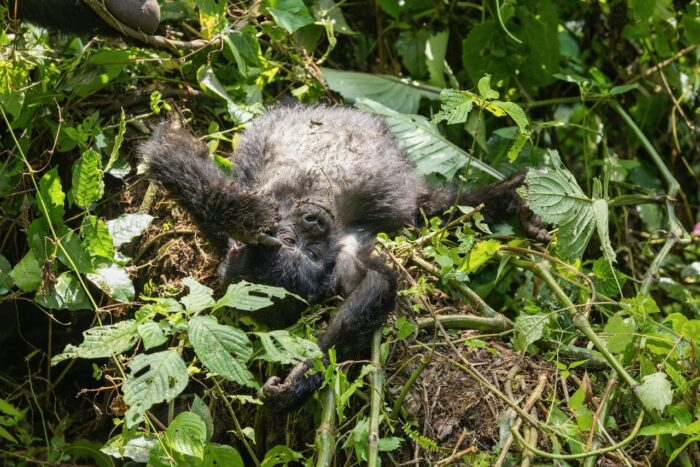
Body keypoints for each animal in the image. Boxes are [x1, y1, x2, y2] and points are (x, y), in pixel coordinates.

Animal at [140, 105, 549, 408]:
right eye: (298, 245)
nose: (316, 220)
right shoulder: (336, 260)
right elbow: (373, 285)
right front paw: (300, 382)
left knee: (437, 207)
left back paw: (511, 200)